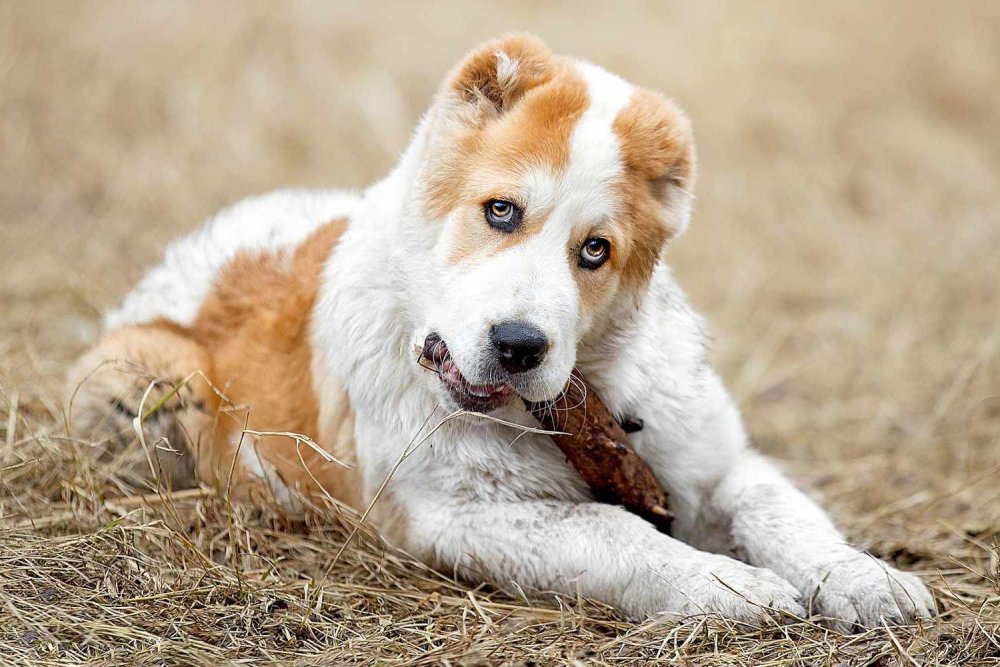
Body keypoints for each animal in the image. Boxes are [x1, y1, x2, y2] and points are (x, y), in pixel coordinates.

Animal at [70, 35, 936, 632]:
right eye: (501, 211)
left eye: (596, 250)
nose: (520, 345)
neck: (582, 399)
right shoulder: (458, 515)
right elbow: (615, 532)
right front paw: (732, 587)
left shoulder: (716, 459)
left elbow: (780, 510)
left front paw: (864, 577)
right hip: (130, 389)